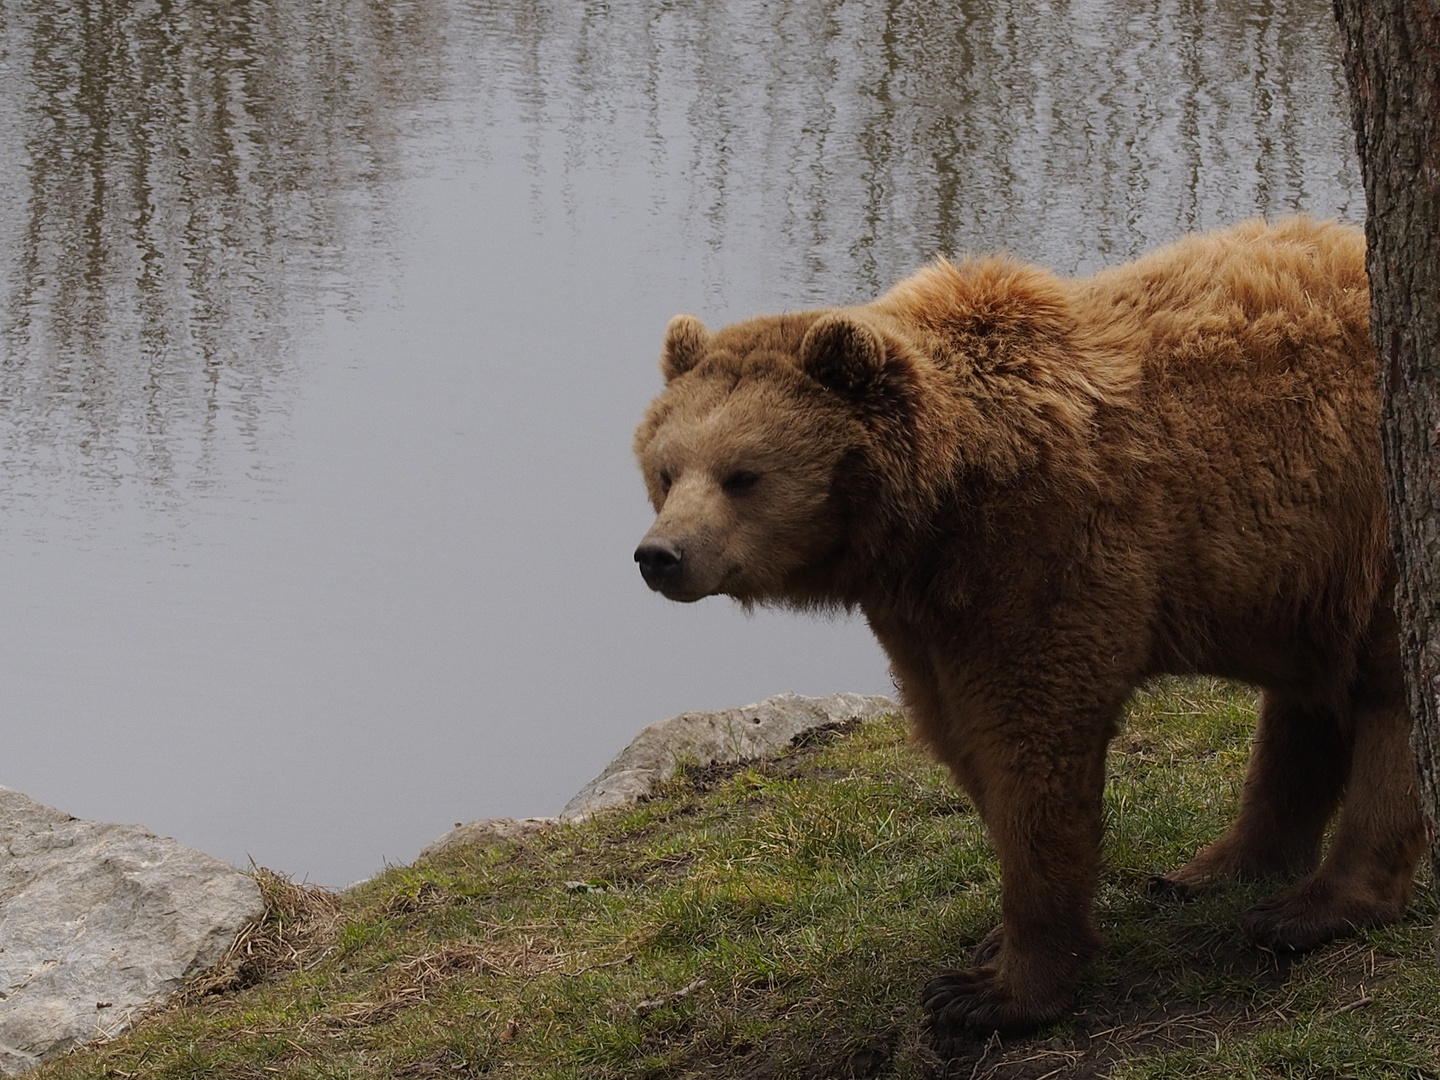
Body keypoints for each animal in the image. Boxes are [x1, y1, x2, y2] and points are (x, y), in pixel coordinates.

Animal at [633, 217, 1428, 1042]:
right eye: (667, 469)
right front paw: (997, 942)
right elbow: (964, 743)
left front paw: (989, 991)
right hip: (1305, 577)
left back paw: (1311, 908)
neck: (935, 508)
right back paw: (1216, 867)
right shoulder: (927, 617)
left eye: (743, 475)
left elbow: (1033, 750)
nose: (661, 555)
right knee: (1306, 706)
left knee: (1388, 702)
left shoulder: (1044, 559)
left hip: (1372, 525)